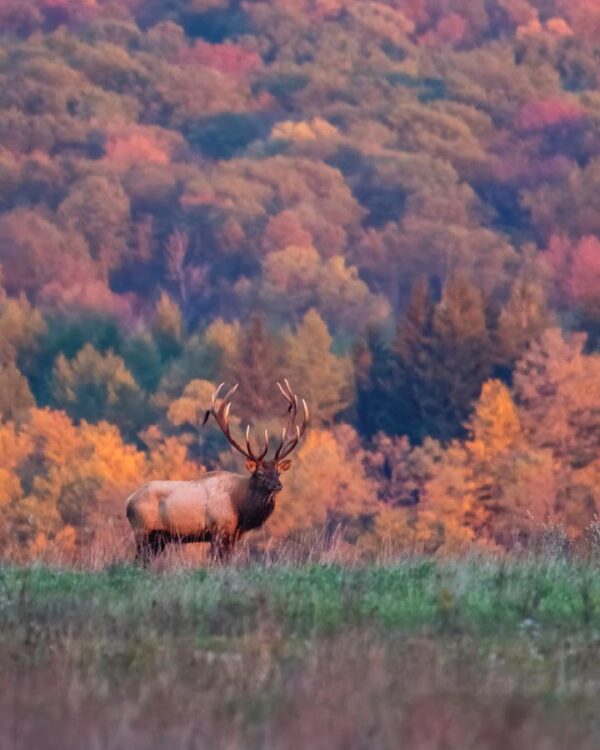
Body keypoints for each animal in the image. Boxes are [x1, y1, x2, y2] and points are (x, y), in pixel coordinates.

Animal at [123, 382, 308, 564]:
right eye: (260, 473)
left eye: (278, 473)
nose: (278, 485)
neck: (241, 509)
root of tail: (129, 500)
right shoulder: (219, 530)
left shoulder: (233, 535)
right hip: (142, 530)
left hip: (159, 539)